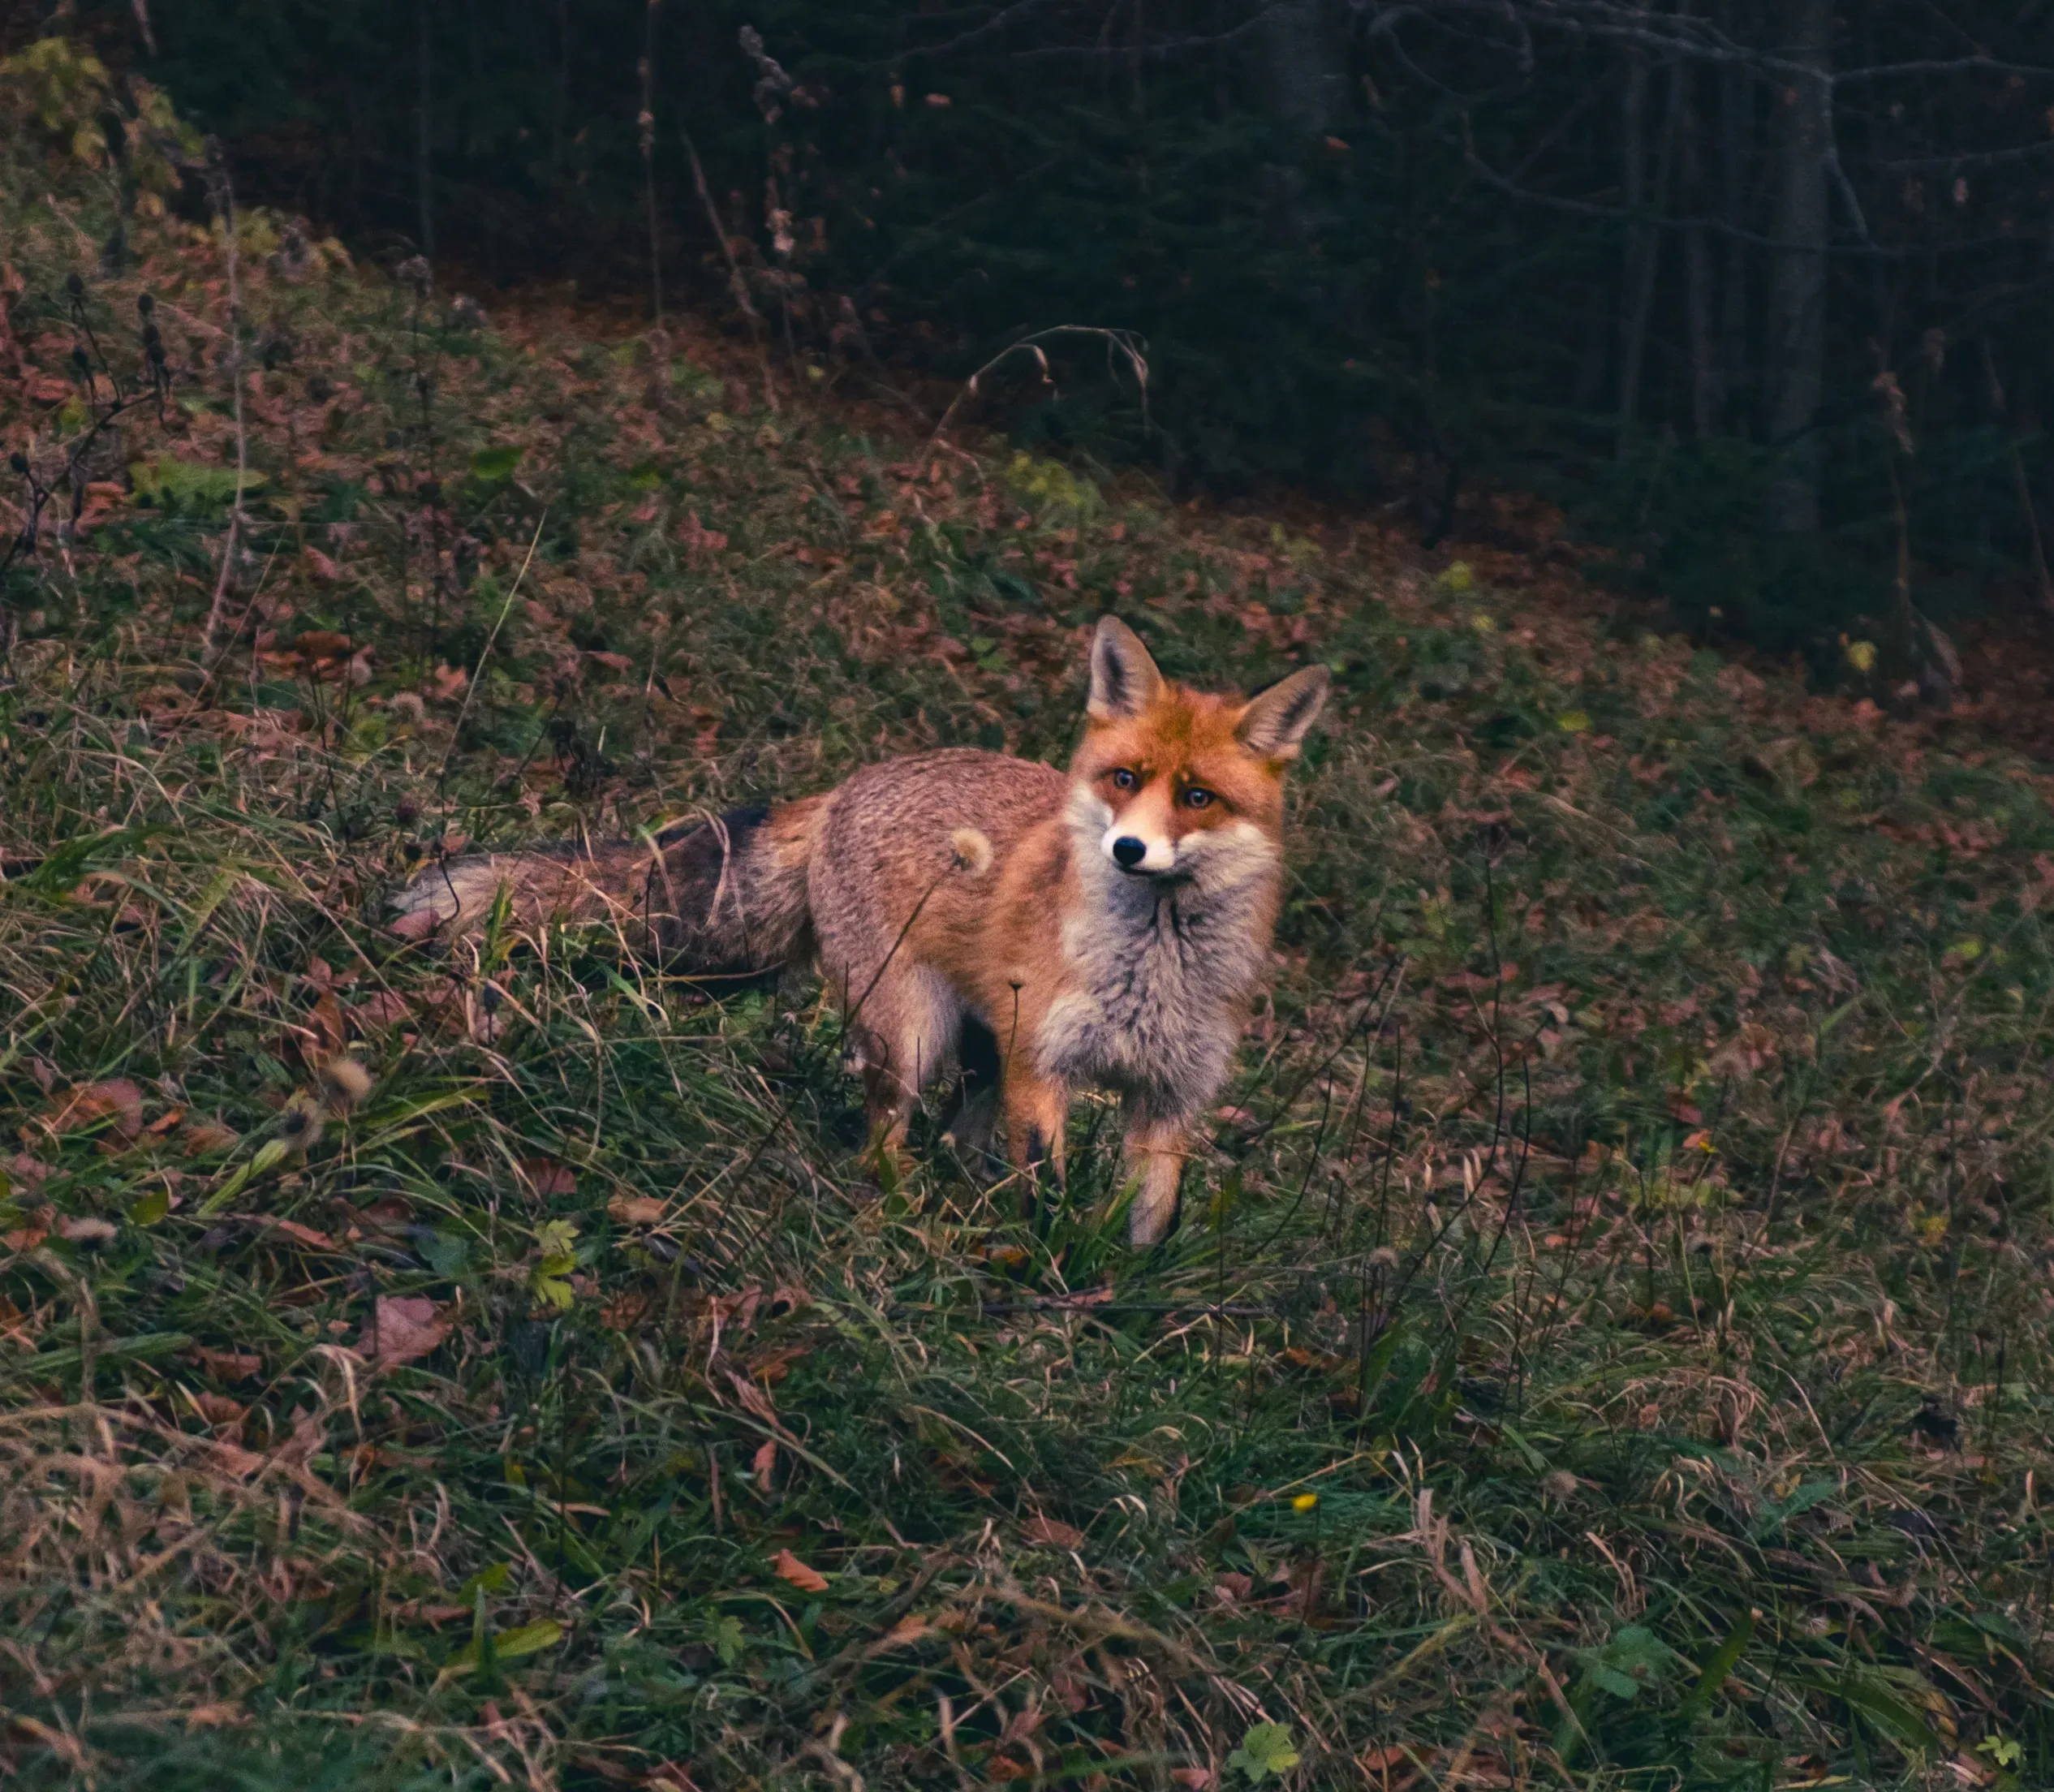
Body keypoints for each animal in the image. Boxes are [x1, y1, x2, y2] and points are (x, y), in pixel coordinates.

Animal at [390, 617, 1330, 1244]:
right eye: (1125, 779)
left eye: (1197, 797)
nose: (1127, 850)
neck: (1152, 965)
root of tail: (850, 782)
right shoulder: (1044, 1065)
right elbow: (1044, 1195)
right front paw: (1041, 1282)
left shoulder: (1169, 1100)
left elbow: (1148, 1225)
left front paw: (1118, 1313)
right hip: (913, 1036)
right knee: (883, 1137)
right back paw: (900, 1202)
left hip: (978, 1047)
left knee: (956, 1135)